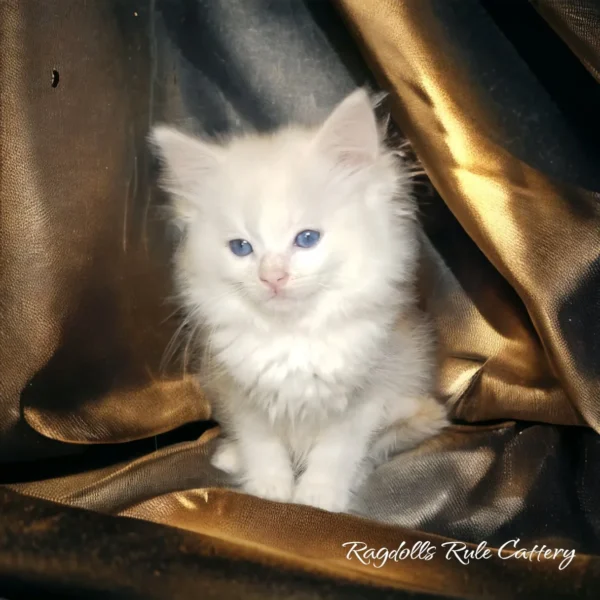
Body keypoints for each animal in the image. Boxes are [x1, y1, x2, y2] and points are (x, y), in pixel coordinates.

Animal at [151, 91, 450, 512]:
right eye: (241, 247)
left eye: (307, 238)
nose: (272, 277)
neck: (292, 337)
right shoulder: (241, 394)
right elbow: (262, 445)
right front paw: (268, 490)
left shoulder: (366, 396)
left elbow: (336, 452)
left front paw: (318, 498)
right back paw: (231, 456)